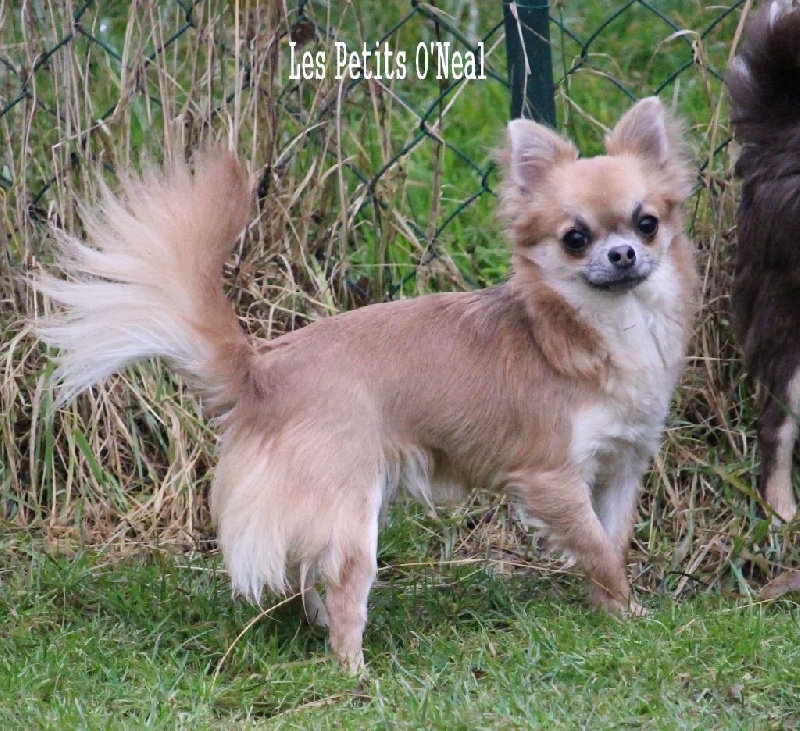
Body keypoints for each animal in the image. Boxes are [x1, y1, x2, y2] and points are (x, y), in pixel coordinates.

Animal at [34, 96, 696, 671]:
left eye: (647, 224)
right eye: (575, 238)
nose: (622, 254)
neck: (606, 326)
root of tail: (262, 368)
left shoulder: (621, 466)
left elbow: (611, 543)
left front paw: (616, 616)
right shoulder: (553, 479)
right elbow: (598, 551)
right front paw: (627, 610)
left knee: (308, 580)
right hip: (351, 515)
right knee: (343, 588)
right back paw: (352, 670)